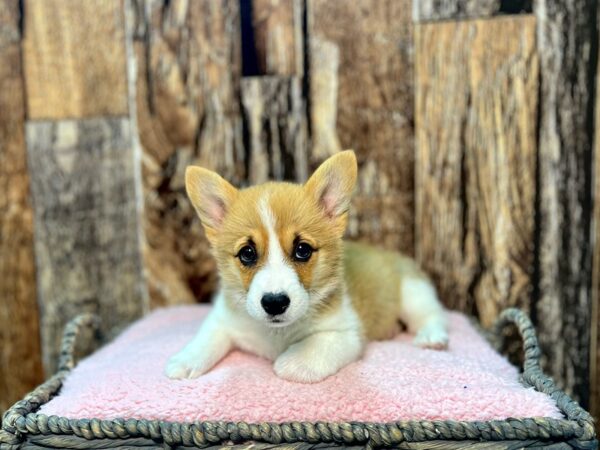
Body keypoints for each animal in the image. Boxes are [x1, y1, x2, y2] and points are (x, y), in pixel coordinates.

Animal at [166, 151, 448, 384]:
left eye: (302, 250)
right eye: (247, 253)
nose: (274, 303)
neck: (277, 334)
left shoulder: (347, 333)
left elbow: (316, 344)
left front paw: (295, 361)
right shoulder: (222, 319)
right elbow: (208, 337)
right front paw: (184, 360)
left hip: (413, 292)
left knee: (432, 314)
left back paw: (432, 338)